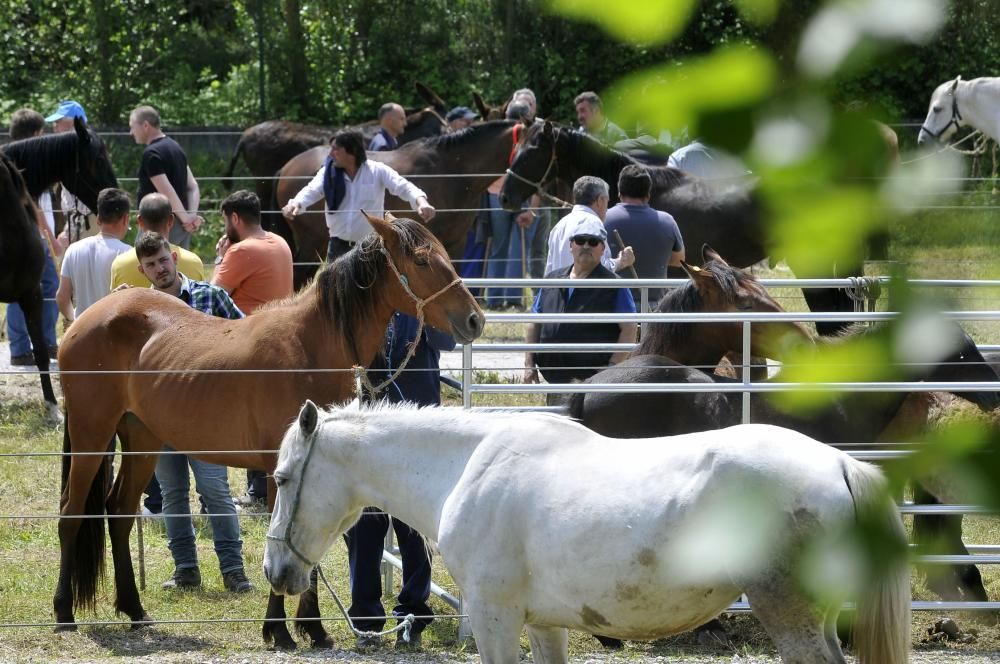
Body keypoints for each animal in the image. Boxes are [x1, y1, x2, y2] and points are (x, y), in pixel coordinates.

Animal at [53, 214, 484, 648]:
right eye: (421, 260)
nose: (475, 319)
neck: (309, 347)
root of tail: (87, 318)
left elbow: (307, 551)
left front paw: (314, 629)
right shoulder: (285, 468)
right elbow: (286, 541)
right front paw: (279, 629)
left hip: (142, 439)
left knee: (119, 513)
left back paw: (135, 610)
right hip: (91, 435)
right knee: (72, 513)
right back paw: (63, 613)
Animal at [262, 400, 912, 664]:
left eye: (282, 477)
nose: (277, 572)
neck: (466, 466)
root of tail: (838, 464)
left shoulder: (496, 619)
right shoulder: (544, 624)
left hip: (791, 617)